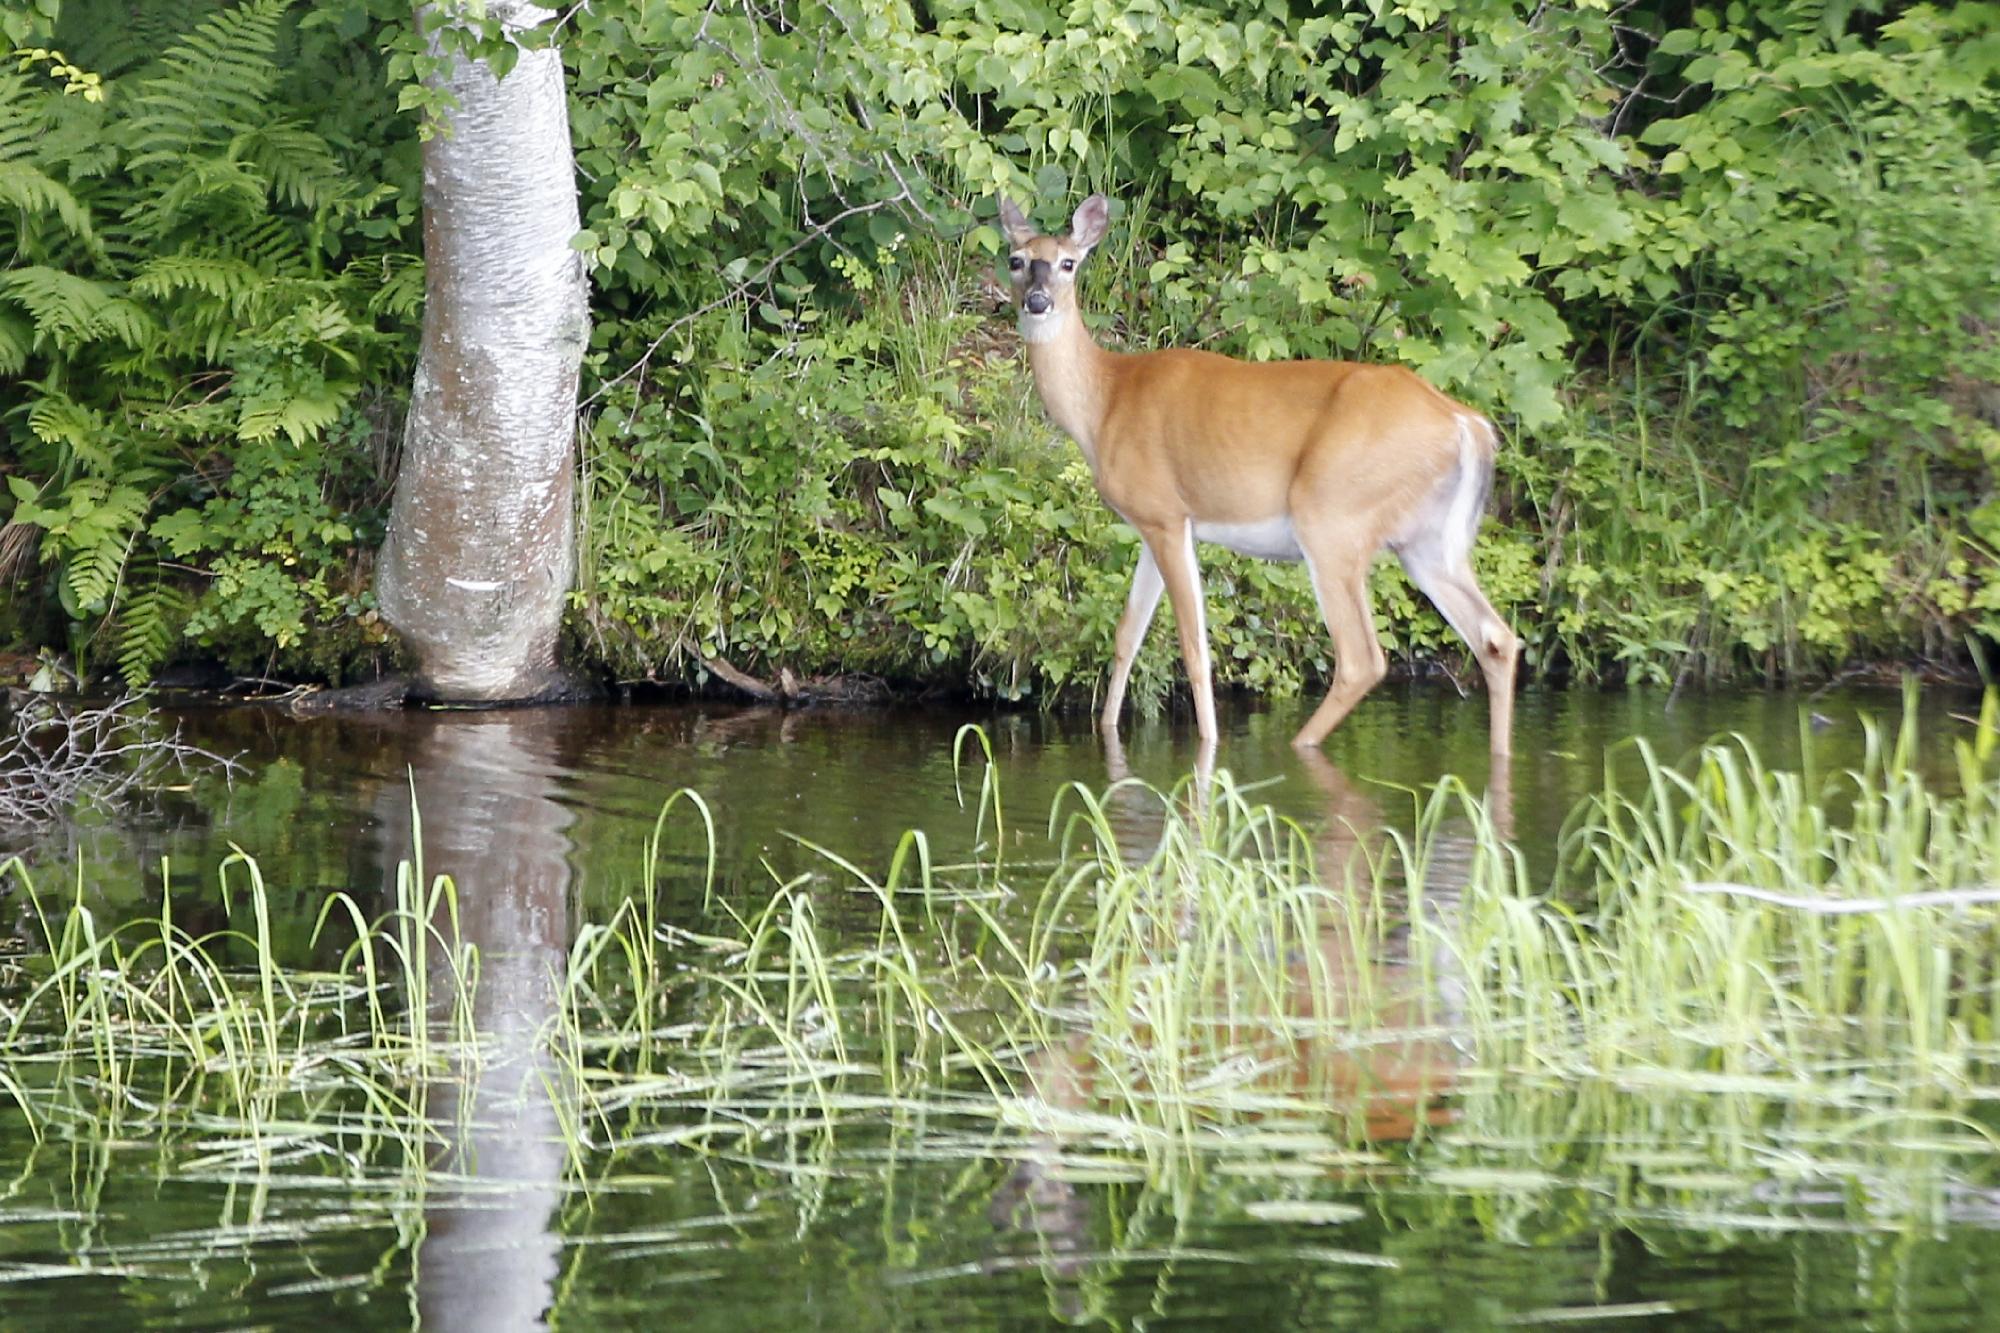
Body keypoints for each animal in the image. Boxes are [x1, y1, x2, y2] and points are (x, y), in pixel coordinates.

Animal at [1000, 192, 1512, 752]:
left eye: (1069, 263)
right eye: (1017, 260)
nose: (1038, 302)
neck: (1105, 401)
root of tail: (1465, 423)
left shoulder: (1163, 512)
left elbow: (1193, 647)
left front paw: (1208, 745)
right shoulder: (1155, 524)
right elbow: (1126, 635)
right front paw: (1108, 731)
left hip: (1333, 516)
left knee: (1362, 658)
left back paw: (1300, 746)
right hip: (1428, 539)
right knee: (1496, 638)